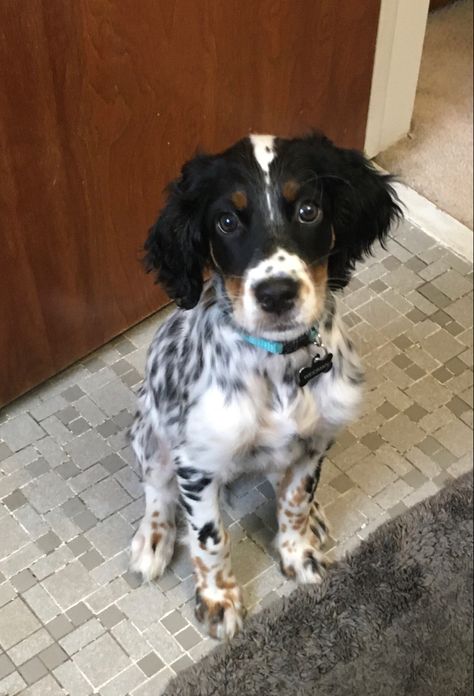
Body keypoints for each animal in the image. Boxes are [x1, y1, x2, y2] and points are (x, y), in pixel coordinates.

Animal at [129, 133, 400, 640]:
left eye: (309, 211)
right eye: (227, 221)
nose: (276, 294)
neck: (279, 366)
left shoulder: (316, 441)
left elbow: (295, 501)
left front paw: (298, 553)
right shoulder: (197, 462)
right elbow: (210, 540)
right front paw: (218, 600)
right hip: (147, 432)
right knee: (158, 488)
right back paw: (153, 538)